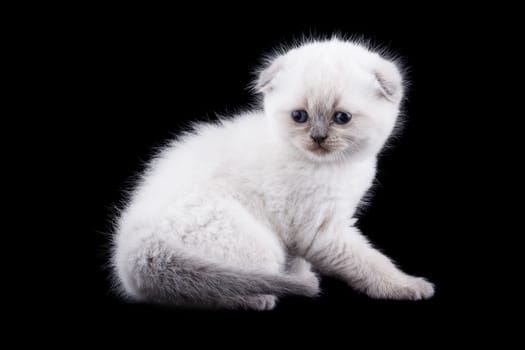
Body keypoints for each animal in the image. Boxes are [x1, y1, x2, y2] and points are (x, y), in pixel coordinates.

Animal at [113, 38, 434, 310]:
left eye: (342, 118)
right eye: (300, 116)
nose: (318, 138)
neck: (333, 166)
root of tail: (137, 249)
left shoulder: (296, 232)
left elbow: (297, 262)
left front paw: (299, 279)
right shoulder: (323, 232)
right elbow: (371, 263)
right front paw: (408, 286)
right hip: (257, 242)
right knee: (211, 288)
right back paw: (256, 299)